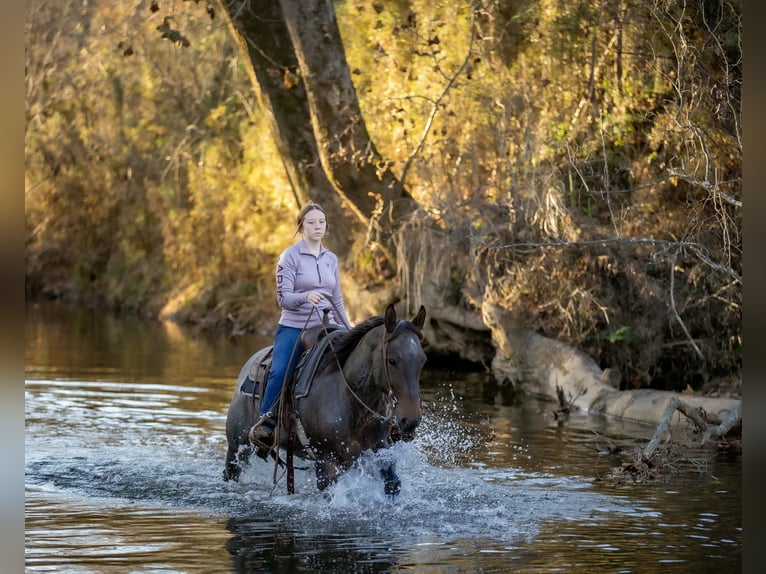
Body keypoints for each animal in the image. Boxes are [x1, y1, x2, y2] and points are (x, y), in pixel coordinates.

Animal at [223, 303, 427, 495]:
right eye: (392, 360)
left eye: (423, 360)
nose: (411, 420)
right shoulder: (325, 458)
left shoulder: (379, 449)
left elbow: (392, 484)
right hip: (237, 444)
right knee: (230, 471)